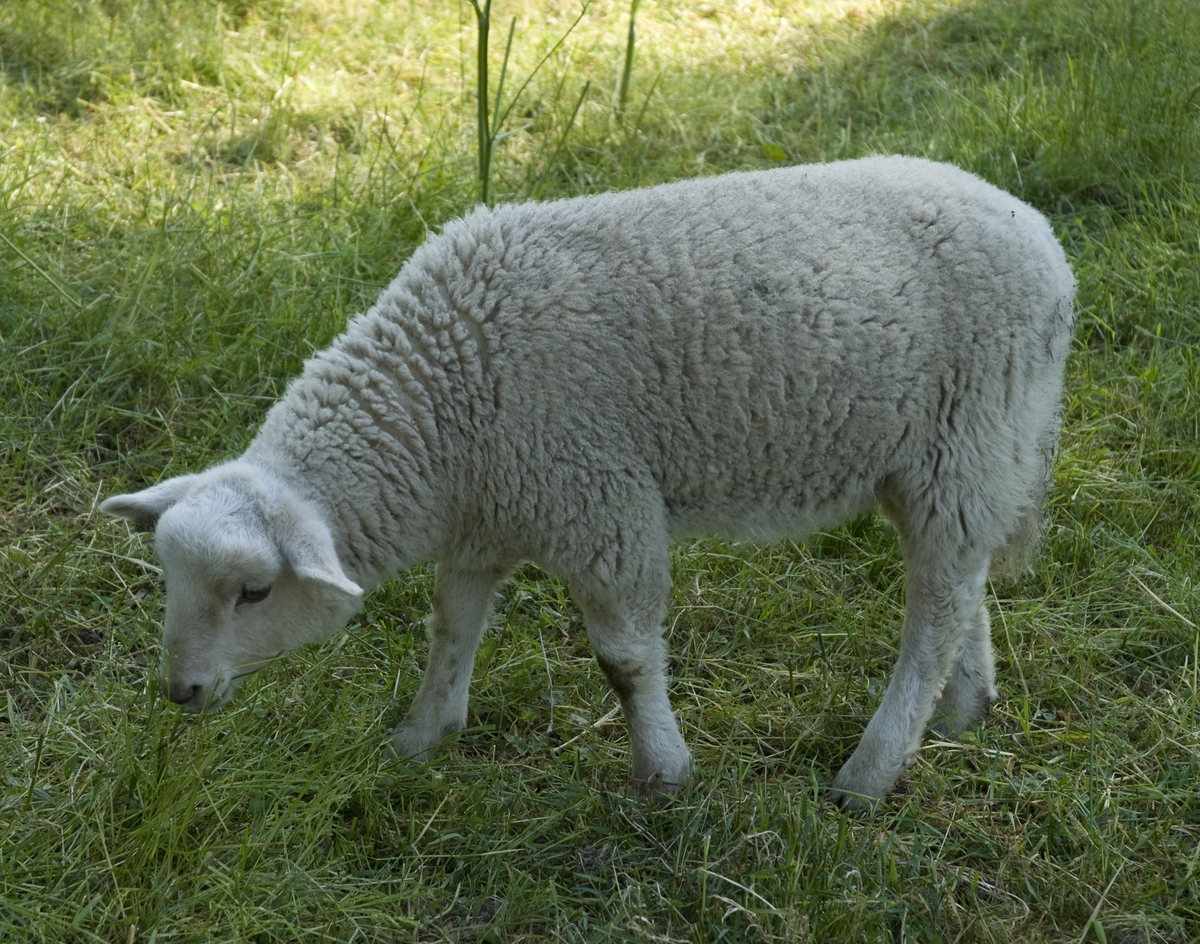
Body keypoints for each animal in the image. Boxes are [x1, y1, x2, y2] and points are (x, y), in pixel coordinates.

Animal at [105, 154, 1080, 806]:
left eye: (255, 592)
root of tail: (1043, 240)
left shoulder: (598, 503)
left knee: (936, 606)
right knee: (960, 582)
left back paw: (871, 773)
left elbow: (623, 659)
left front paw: (664, 773)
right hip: (943, 461)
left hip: (968, 434)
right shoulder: (489, 515)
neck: (444, 397)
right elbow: (451, 628)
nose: (180, 693)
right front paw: (422, 737)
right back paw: (963, 712)